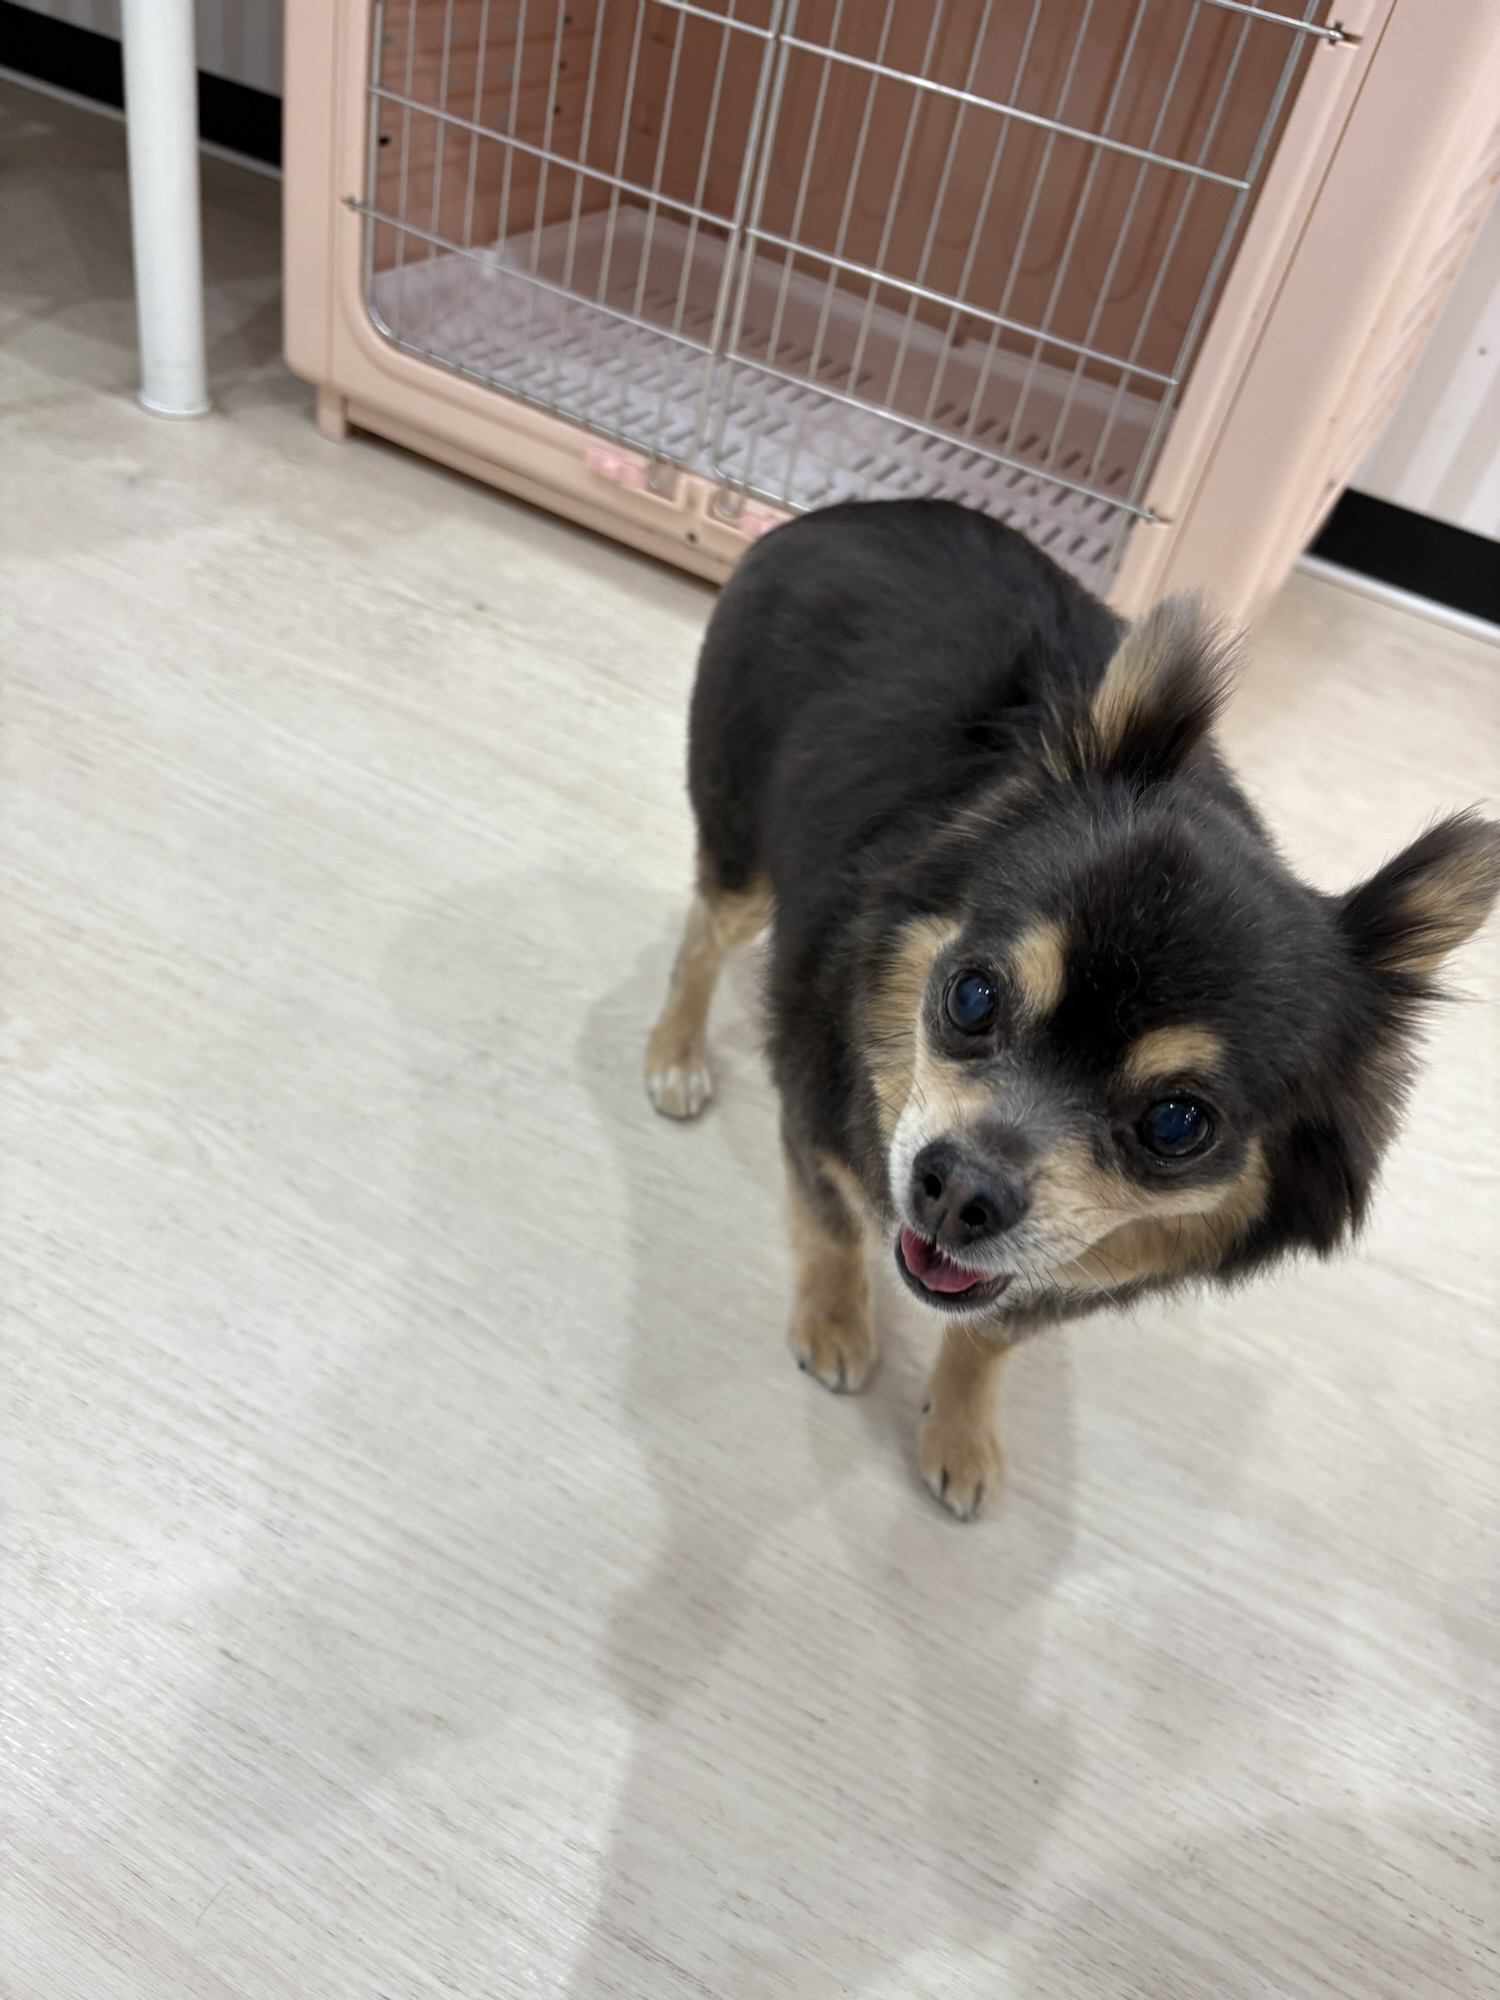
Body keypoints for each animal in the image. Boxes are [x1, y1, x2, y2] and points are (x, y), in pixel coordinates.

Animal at [644, 500, 1500, 1519]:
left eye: (1178, 1124)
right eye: (972, 996)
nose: (957, 1189)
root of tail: (844, 510)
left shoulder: (1035, 1280)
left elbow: (987, 1335)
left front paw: (959, 1432)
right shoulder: (816, 1120)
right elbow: (832, 1227)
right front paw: (835, 1321)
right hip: (740, 839)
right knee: (703, 934)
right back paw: (674, 1054)